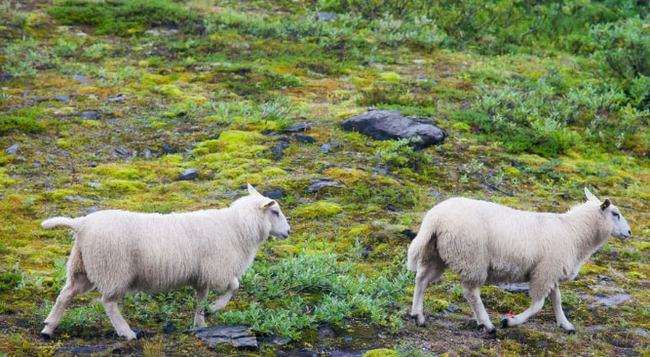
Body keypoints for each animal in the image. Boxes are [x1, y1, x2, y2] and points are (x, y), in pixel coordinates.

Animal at [38, 184, 286, 340]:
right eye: (275, 211)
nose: (288, 231)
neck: (237, 228)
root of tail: (81, 224)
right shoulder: (218, 271)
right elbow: (235, 286)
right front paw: (216, 307)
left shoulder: (203, 276)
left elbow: (200, 300)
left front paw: (200, 323)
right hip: (113, 269)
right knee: (108, 302)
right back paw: (126, 333)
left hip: (82, 267)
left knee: (66, 294)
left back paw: (48, 328)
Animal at [408, 188, 632, 332]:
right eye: (615, 213)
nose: (629, 232)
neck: (574, 232)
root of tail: (435, 218)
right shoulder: (544, 271)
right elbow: (538, 305)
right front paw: (510, 322)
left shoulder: (550, 271)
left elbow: (557, 299)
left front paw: (565, 324)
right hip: (471, 257)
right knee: (470, 292)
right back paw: (487, 324)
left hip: (437, 253)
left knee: (422, 279)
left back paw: (417, 315)